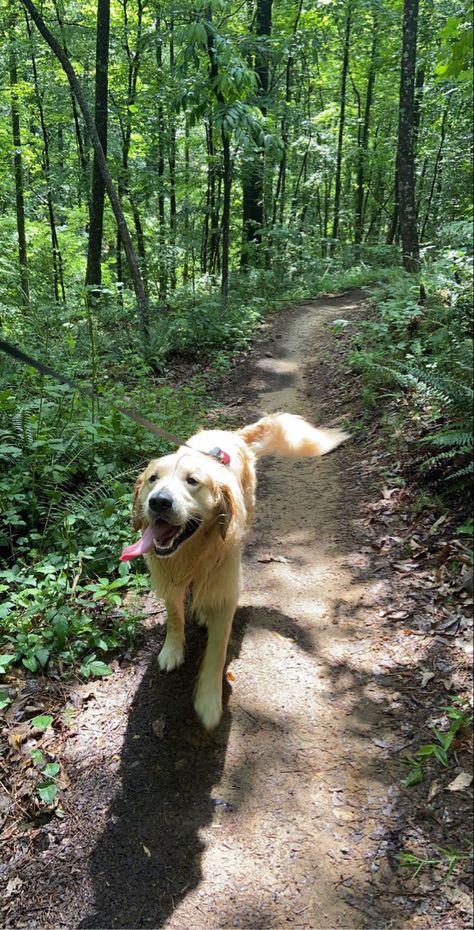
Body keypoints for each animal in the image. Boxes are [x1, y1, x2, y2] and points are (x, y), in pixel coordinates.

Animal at [120, 416, 346, 732]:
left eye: (193, 481)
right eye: (153, 478)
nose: (159, 501)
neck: (193, 553)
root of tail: (232, 434)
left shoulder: (225, 590)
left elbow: (216, 652)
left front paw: (209, 700)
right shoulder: (170, 580)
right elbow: (175, 616)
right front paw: (172, 649)